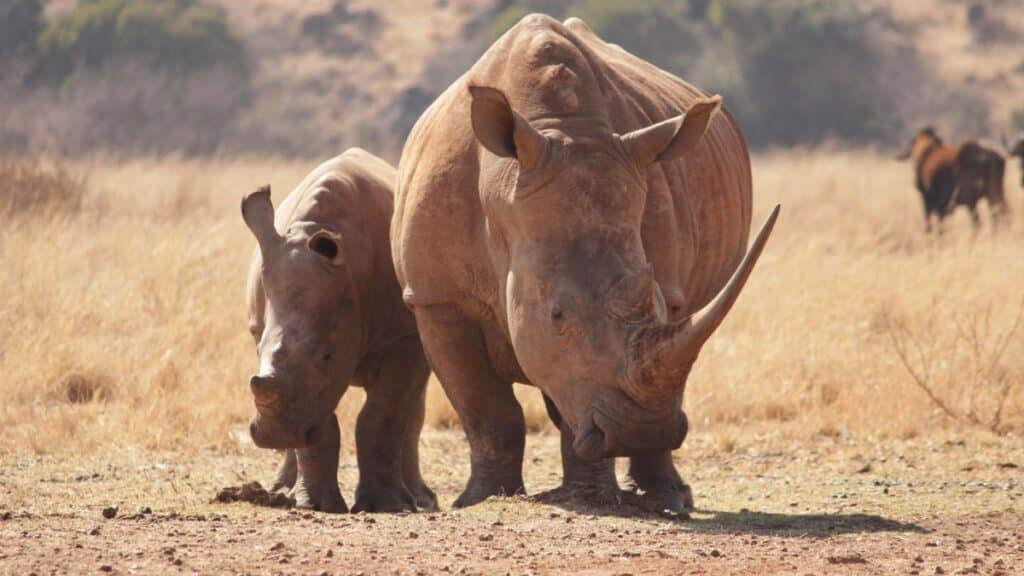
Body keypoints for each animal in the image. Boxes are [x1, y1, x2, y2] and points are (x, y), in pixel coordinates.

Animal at [242, 149, 436, 513]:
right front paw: (315, 505)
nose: (276, 435)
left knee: (412, 406)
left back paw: (421, 500)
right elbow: (320, 420)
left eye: (327, 355)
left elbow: (384, 414)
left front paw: (386, 506)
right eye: (257, 348)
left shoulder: (403, 336)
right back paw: (282, 491)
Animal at [391, 14, 778, 513]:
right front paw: (481, 499)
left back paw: (668, 498)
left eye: (655, 302)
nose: (641, 431)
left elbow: (576, 391)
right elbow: (485, 407)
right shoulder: (435, 297)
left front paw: (590, 496)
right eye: (557, 315)